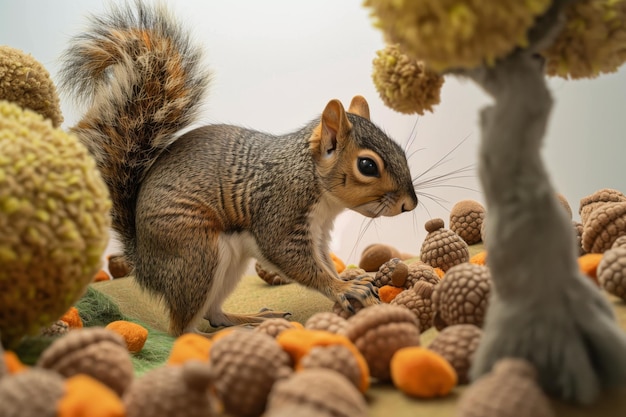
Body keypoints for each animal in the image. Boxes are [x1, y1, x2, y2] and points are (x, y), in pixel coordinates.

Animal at [61, 0, 416, 334]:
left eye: (400, 150)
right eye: (367, 165)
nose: (409, 204)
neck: (312, 180)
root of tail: (143, 262)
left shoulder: (318, 232)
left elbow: (325, 261)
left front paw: (350, 280)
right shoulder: (280, 212)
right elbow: (294, 260)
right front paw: (343, 287)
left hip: (228, 264)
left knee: (214, 314)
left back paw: (251, 319)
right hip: (196, 255)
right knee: (182, 330)